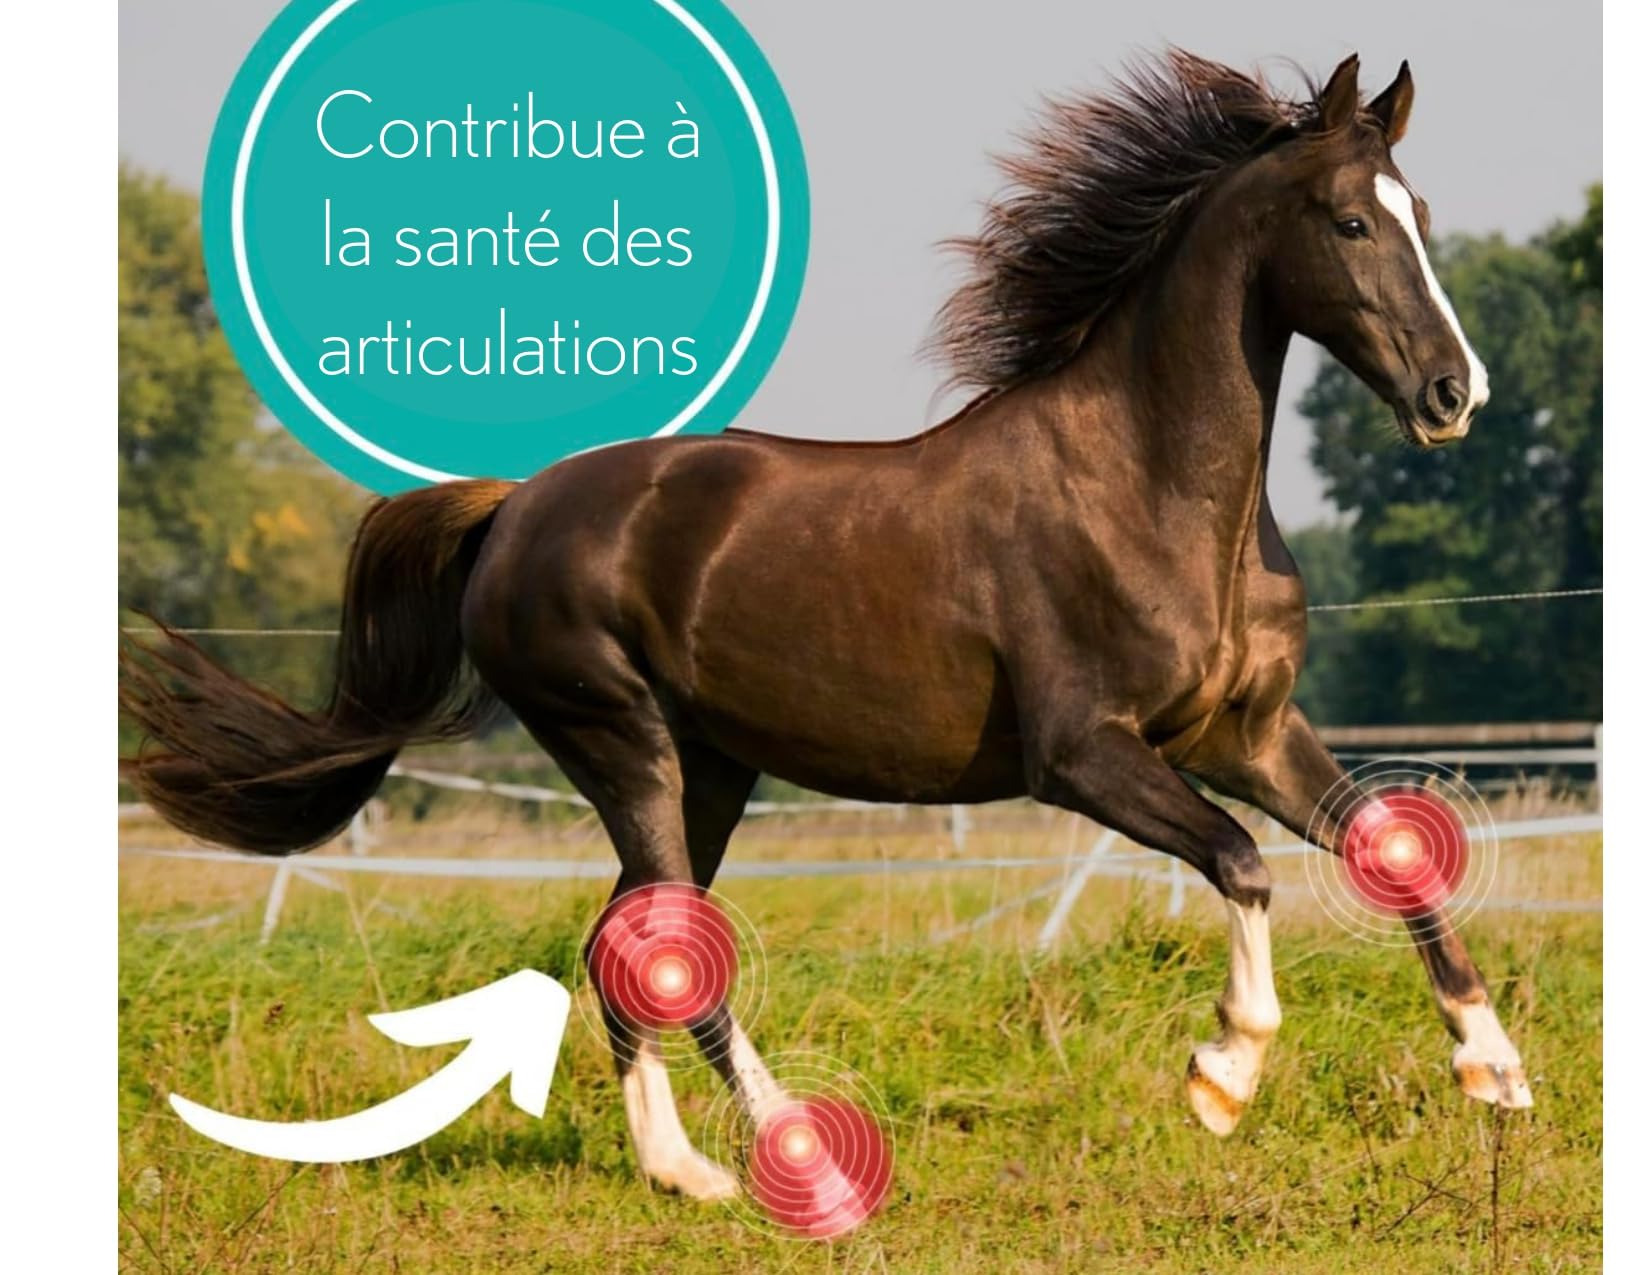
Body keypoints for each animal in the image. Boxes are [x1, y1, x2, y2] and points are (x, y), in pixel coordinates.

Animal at [121, 50, 1529, 1201]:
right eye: (1350, 220)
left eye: (1421, 217)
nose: (1454, 395)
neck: (1153, 492)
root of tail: (517, 507)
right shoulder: (1084, 756)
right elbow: (1240, 863)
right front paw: (1223, 1077)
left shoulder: (1247, 734)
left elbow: (1393, 851)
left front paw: (1497, 1070)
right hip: (625, 743)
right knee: (668, 951)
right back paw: (781, 1156)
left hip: (709, 768)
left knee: (626, 941)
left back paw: (687, 1170)